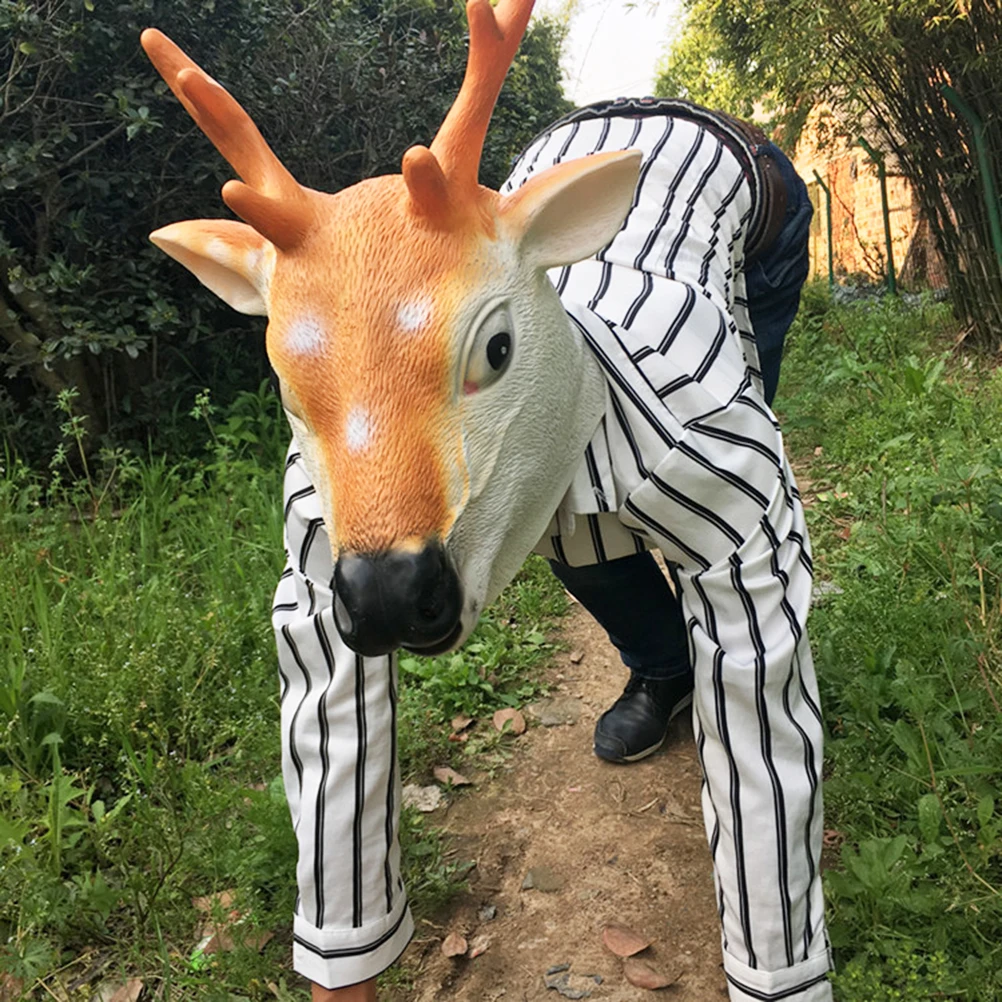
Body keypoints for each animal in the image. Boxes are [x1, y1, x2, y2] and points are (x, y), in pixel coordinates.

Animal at [141, 1, 832, 999]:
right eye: (288, 391)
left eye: (496, 348)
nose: (390, 597)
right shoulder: (314, 541)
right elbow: (329, 711)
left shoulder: (733, 490)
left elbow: (762, 731)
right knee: (594, 554)